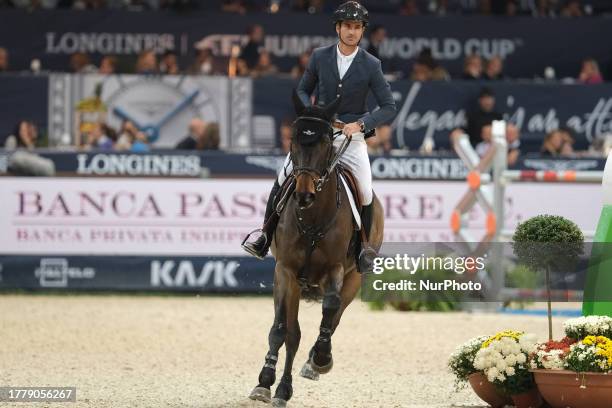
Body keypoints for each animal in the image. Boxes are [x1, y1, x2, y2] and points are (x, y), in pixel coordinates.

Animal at [247, 92, 382, 408]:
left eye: (323, 143)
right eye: (293, 141)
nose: (304, 195)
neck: (312, 217)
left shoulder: (335, 269)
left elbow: (329, 310)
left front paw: (320, 358)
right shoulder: (285, 272)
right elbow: (283, 331)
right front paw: (267, 384)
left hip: (354, 278)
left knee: (334, 317)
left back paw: (313, 363)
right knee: (290, 331)